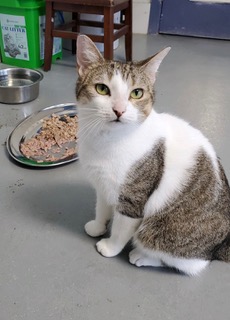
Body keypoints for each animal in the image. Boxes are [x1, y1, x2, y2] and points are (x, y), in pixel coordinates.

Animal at [75, 34, 230, 276]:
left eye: (136, 93)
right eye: (102, 89)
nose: (119, 110)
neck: (106, 140)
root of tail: (221, 245)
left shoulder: (133, 200)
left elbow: (121, 229)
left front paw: (110, 247)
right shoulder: (103, 185)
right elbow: (101, 207)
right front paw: (98, 226)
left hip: (160, 231)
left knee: (191, 263)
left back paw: (142, 256)